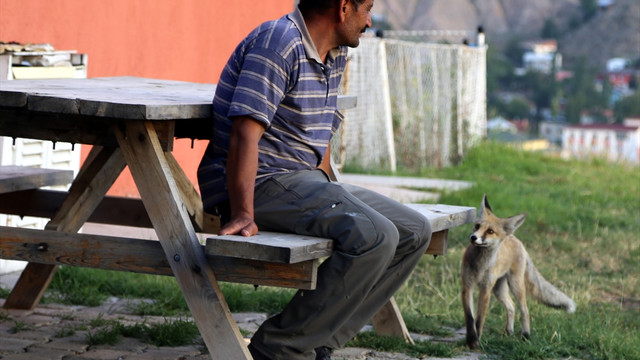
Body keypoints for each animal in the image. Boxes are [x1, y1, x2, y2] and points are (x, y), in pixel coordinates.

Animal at [460, 194, 576, 348]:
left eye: (490, 231)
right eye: (477, 226)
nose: (473, 237)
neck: (480, 266)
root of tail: (515, 238)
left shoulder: (485, 290)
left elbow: (479, 320)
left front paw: (476, 340)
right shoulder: (467, 286)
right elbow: (469, 318)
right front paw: (470, 340)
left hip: (515, 285)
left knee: (524, 309)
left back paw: (525, 335)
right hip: (499, 290)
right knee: (511, 306)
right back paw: (508, 331)